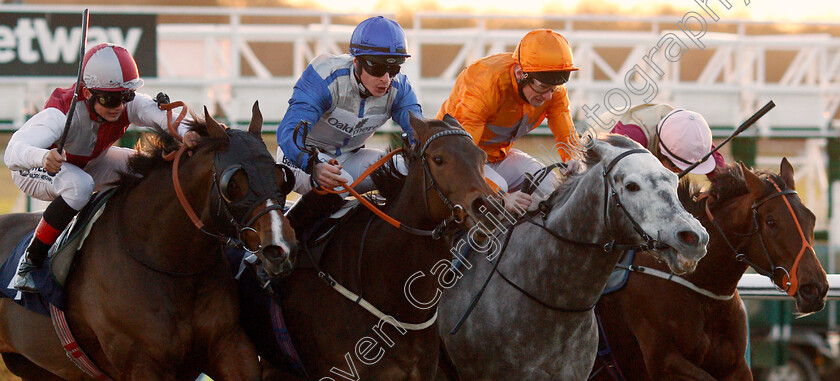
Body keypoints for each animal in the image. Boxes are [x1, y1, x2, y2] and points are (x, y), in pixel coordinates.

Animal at [0, 102, 298, 378]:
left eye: (281, 176)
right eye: (233, 184)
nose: (280, 249)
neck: (171, 265)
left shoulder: (231, 346)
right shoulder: (141, 363)